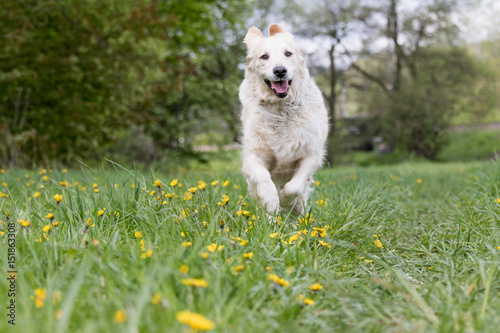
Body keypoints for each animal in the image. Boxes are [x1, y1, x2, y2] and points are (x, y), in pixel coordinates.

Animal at [238, 23, 328, 215]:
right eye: (264, 56)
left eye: (288, 53)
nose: (280, 70)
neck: (280, 109)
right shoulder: (253, 156)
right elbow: (263, 177)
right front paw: (272, 200)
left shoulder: (311, 156)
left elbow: (294, 187)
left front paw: (286, 200)